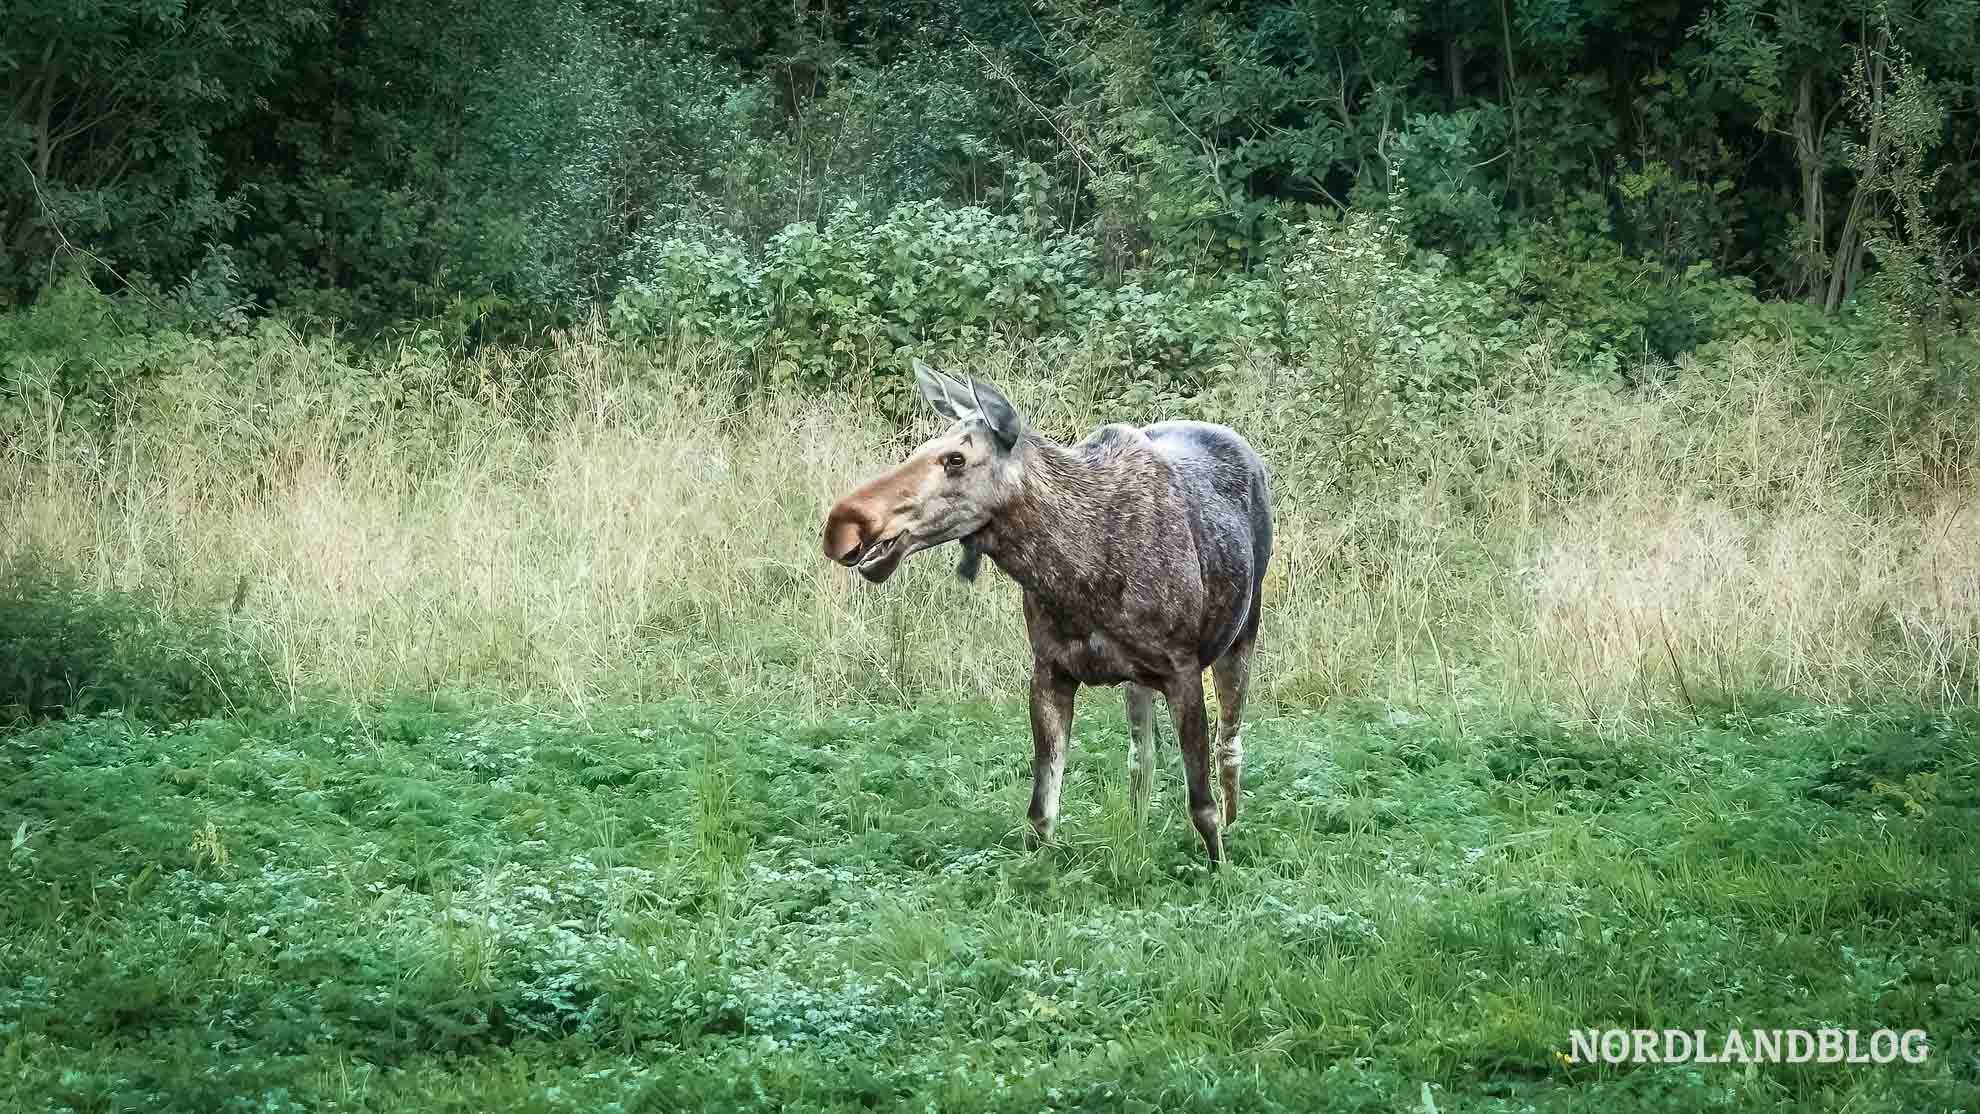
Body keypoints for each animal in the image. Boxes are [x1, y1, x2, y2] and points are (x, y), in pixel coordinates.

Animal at [823, 362, 1275, 866]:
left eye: (956, 459)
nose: (841, 524)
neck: (1075, 574)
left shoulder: (1183, 669)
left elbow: (1202, 805)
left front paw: (1219, 869)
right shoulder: (1049, 670)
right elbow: (1042, 813)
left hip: (1242, 632)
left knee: (1229, 744)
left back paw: (1235, 822)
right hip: (1140, 678)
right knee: (1142, 755)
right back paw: (1137, 830)